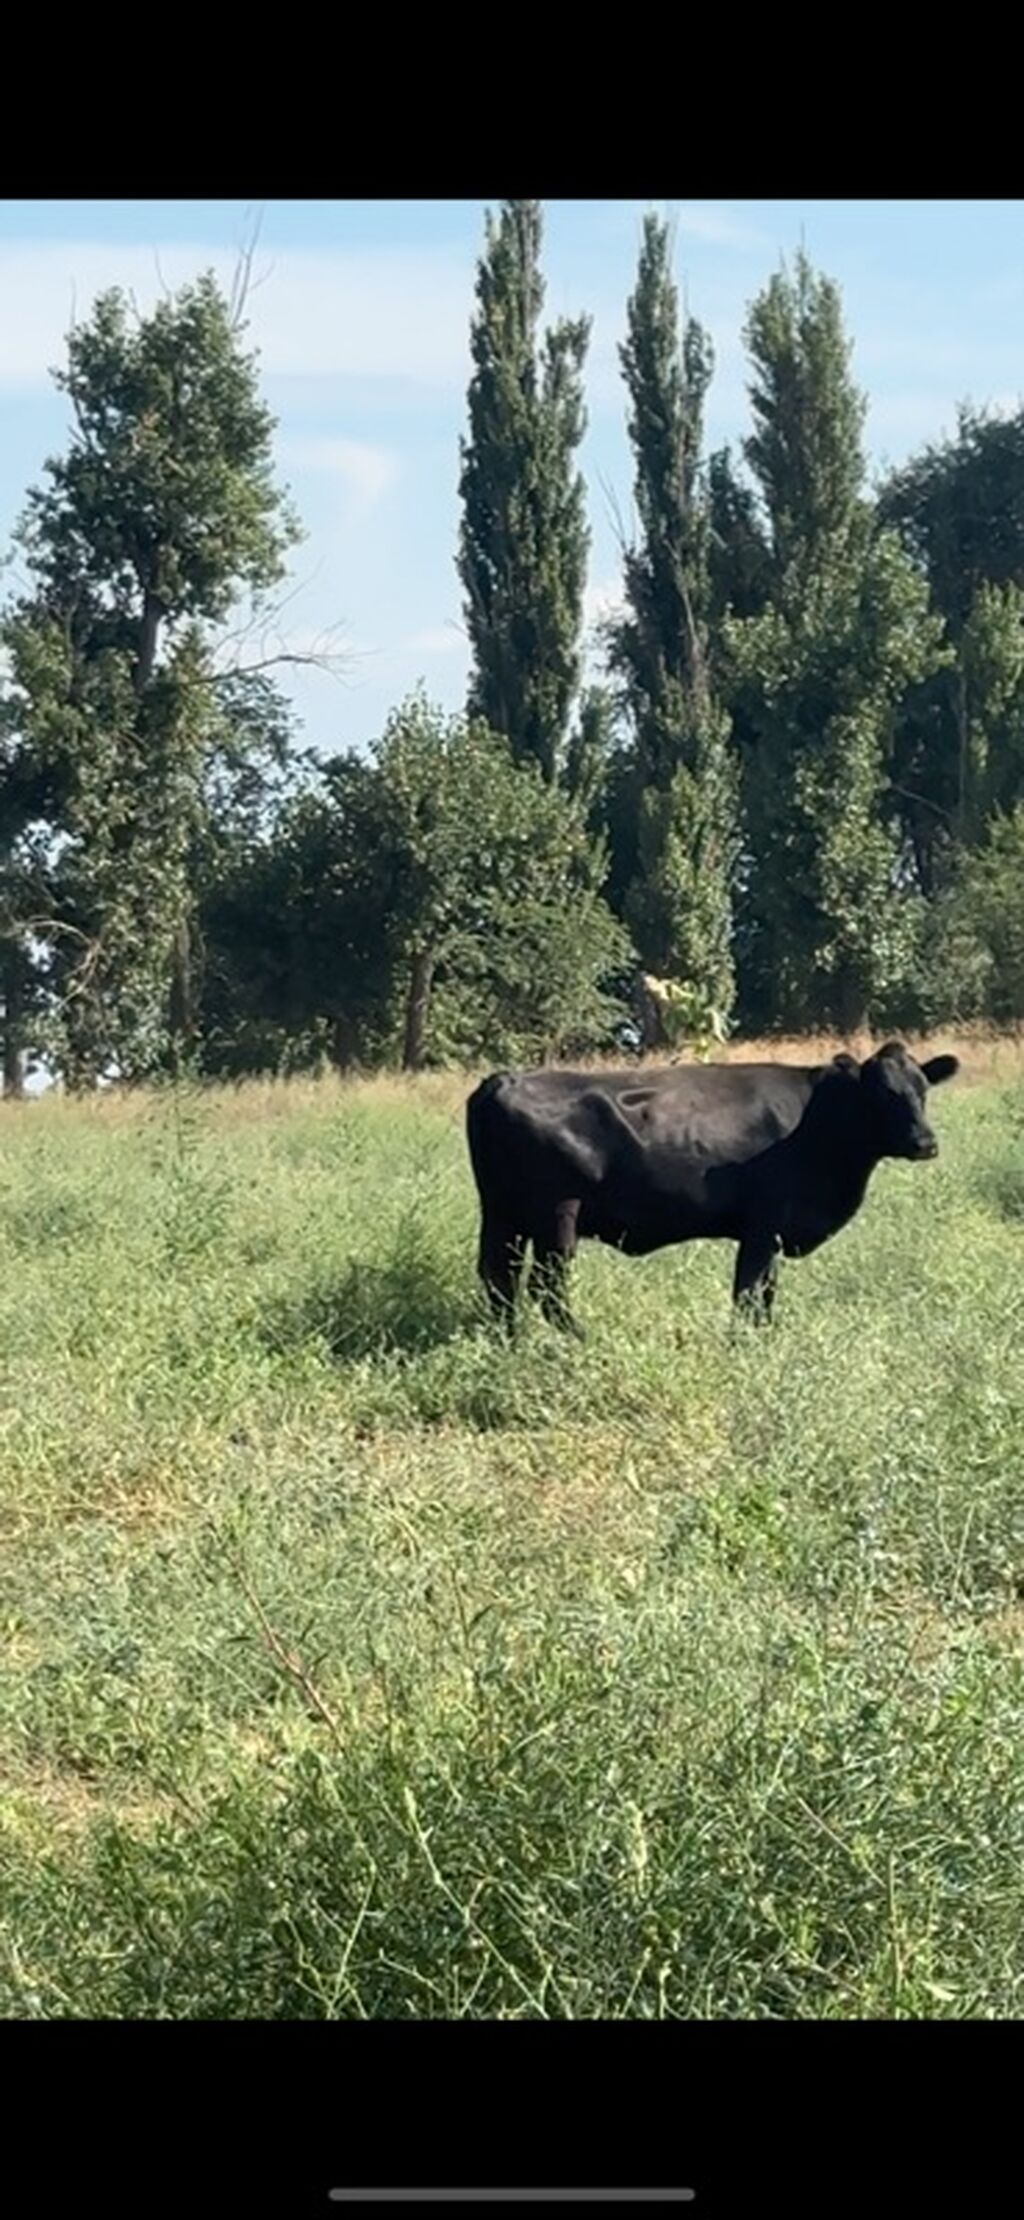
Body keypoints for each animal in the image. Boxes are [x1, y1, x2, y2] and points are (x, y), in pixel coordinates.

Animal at [465, 1041, 959, 1335]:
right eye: (882, 1093)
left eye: (922, 1090)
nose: (926, 1143)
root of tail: (505, 1078)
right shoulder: (762, 1227)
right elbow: (747, 1294)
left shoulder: (773, 1234)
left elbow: (766, 1295)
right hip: (557, 1214)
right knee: (545, 1288)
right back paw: (579, 1341)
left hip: (503, 1214)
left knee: (499, 1279)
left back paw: (508, 1341)